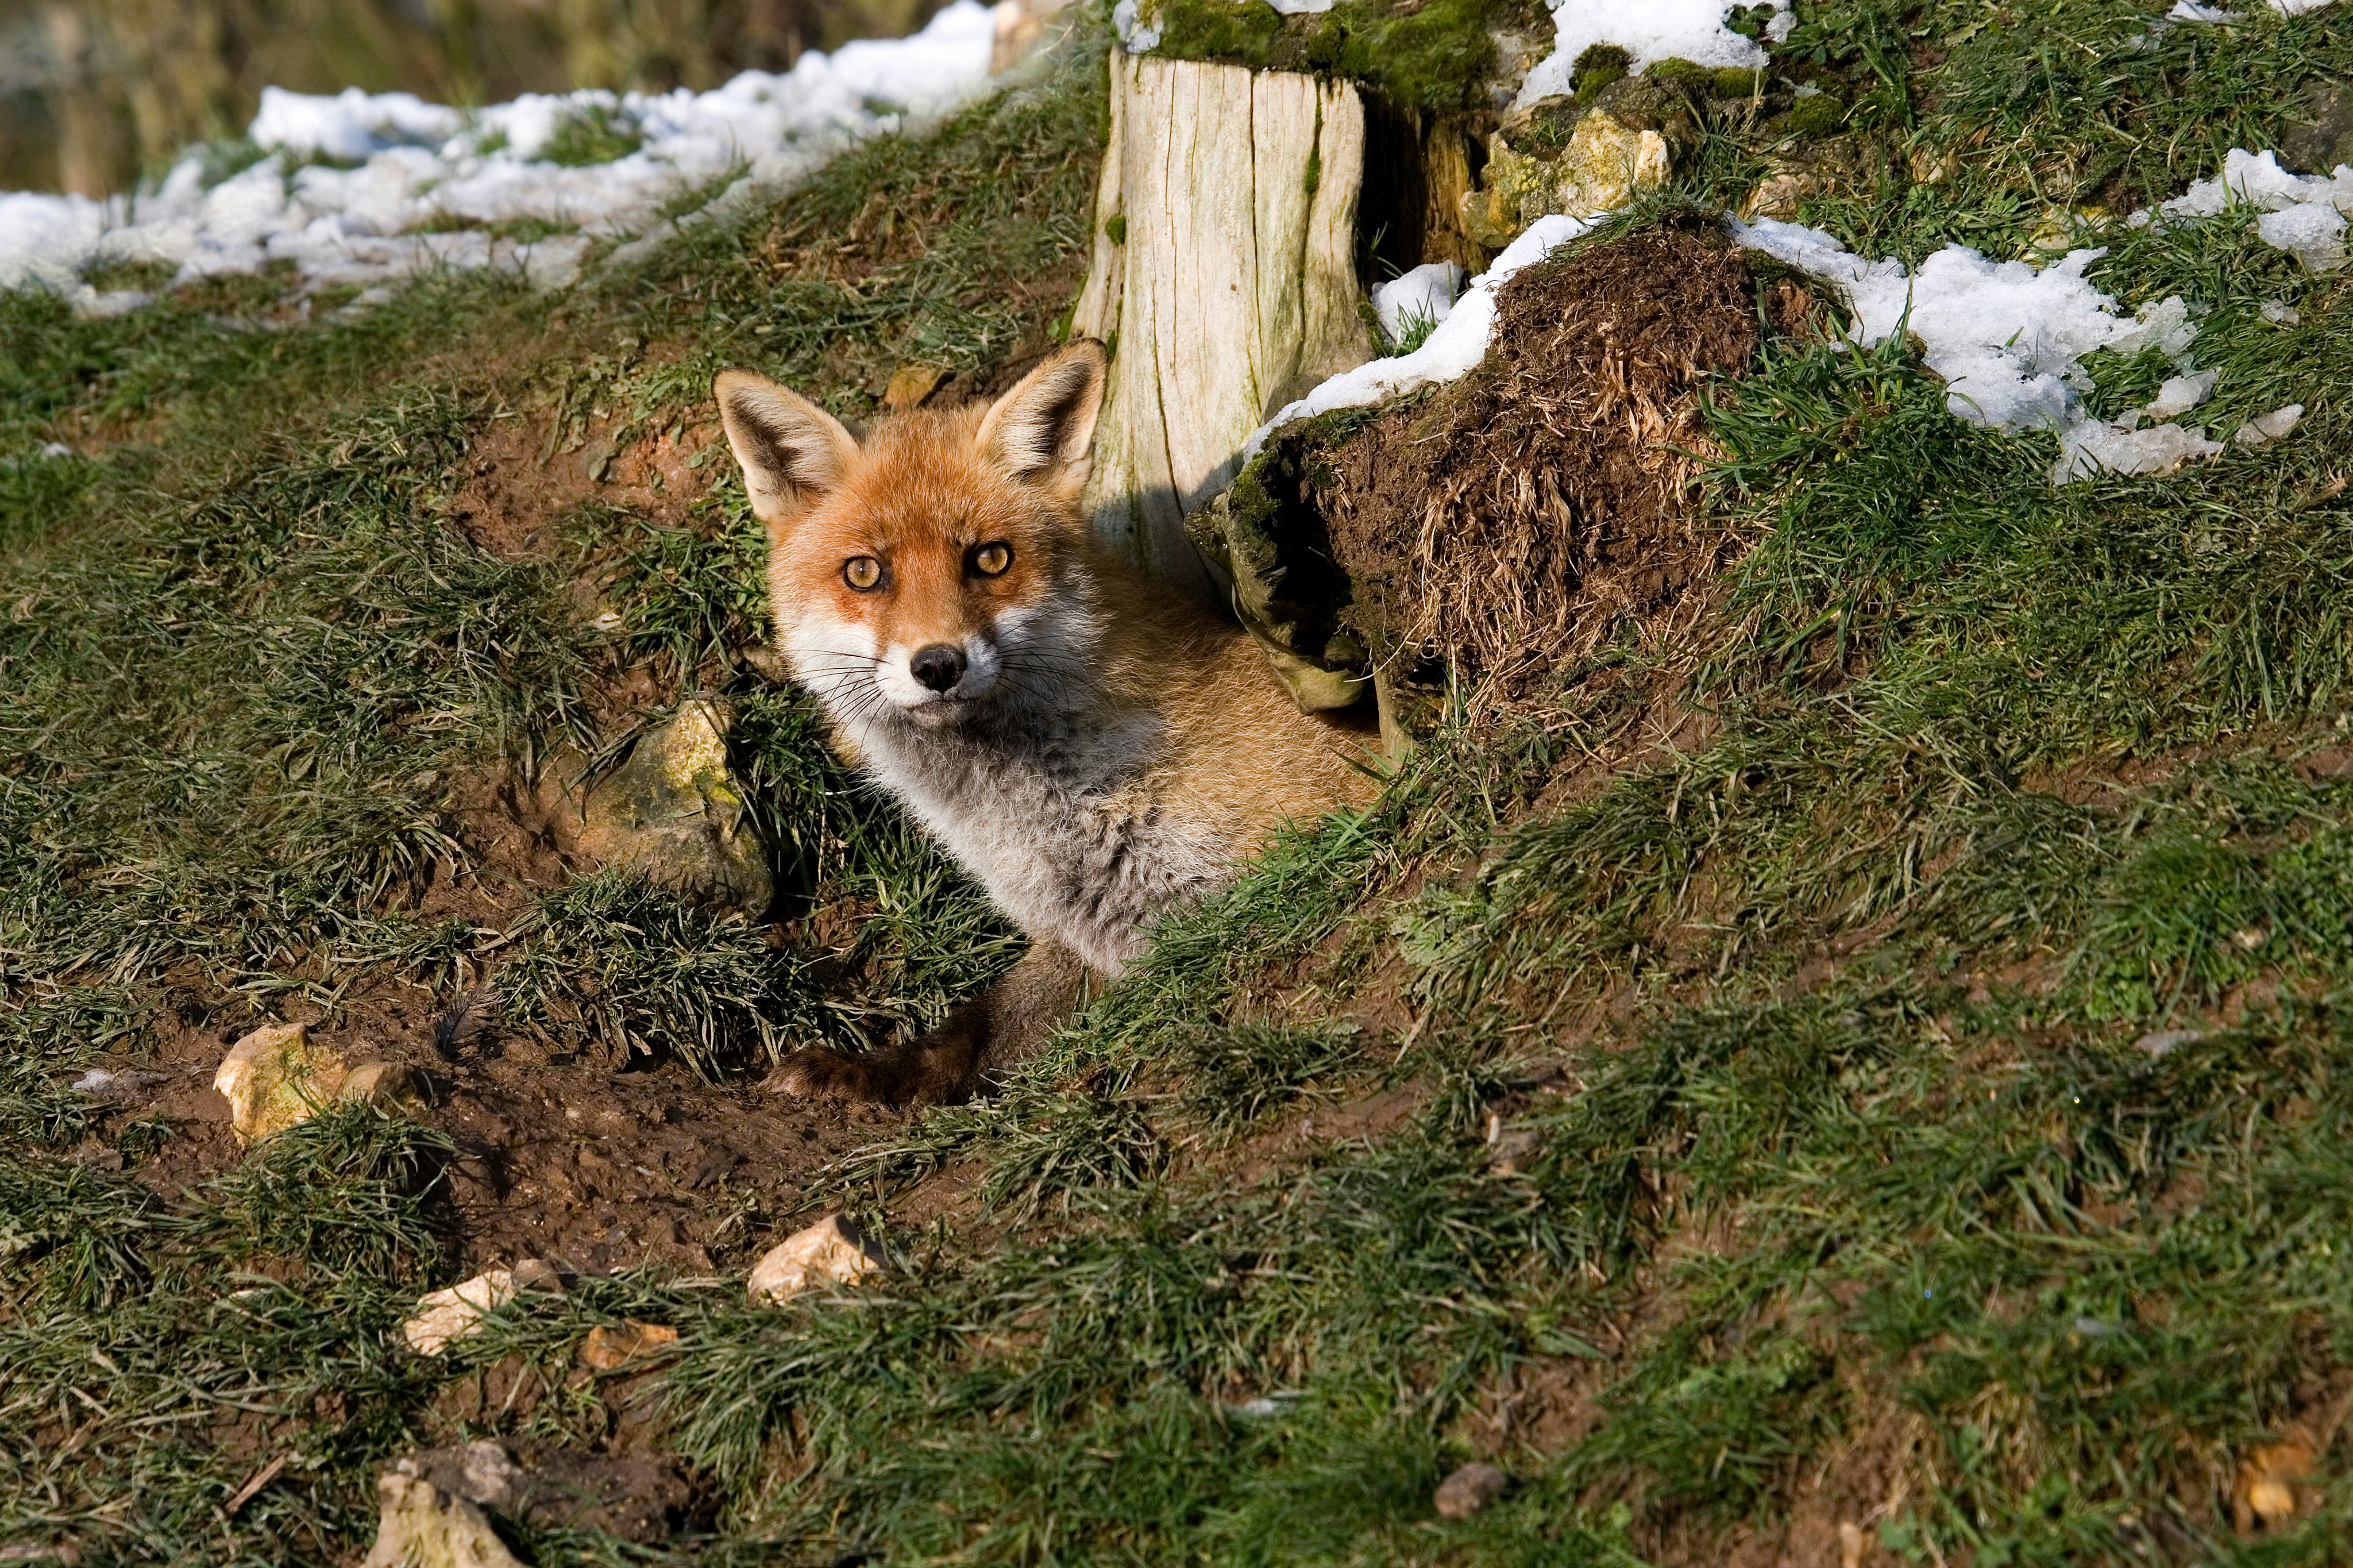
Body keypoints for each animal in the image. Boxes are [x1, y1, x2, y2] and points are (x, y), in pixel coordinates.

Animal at [712, 339, 1377, 1106]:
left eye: (990, 558)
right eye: (864, 573)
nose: (937, 664)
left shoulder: (1284, 870)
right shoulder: (1079, 942)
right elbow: (971, 1029)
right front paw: (868, 1075)